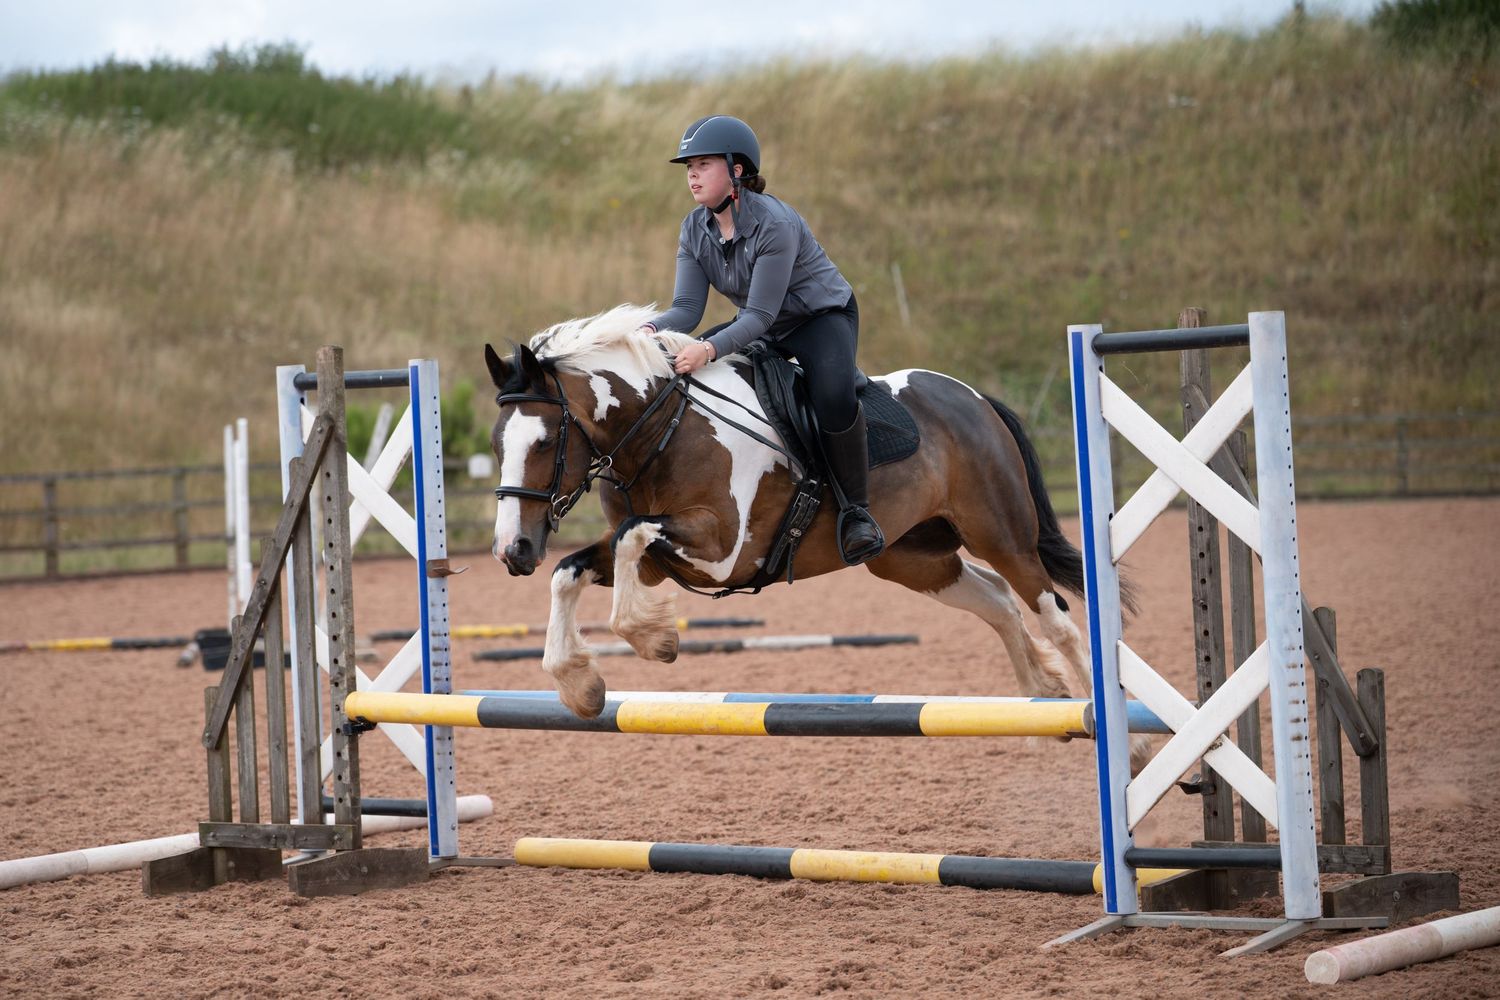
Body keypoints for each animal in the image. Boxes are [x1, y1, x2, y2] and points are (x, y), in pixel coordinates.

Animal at [484, 304, 1148, 767]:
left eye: (545, 441)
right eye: (497, 444)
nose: (512, 551)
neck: (661, 429)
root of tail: (972, 397)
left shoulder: (723, 551)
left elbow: (628, 536)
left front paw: (655, 640)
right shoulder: (664, 558)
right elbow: (571, 570)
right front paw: (582, 686)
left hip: (1001, 533)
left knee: (1055, 615)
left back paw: (1124, 740)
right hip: (912, 558)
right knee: (998, 602)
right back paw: (1045, 697)